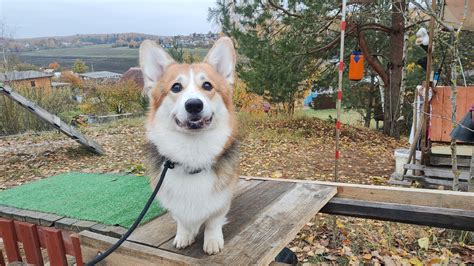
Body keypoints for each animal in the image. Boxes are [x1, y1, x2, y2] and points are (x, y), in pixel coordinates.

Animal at [139, 36, 239, 255]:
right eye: (176, 87)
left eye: (207, 86)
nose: (194, 105)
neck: (193, 152)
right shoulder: (175, 204)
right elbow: (182, 221)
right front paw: (184, 236)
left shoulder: (221, 201)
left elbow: (213, 221)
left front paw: (212, 242)